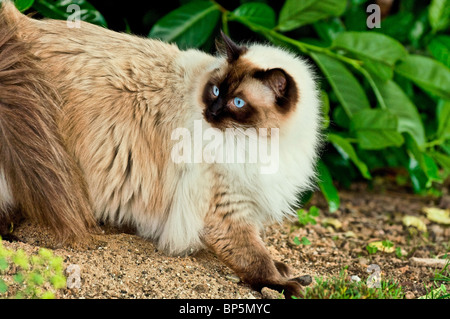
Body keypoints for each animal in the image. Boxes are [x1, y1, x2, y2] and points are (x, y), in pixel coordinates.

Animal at [0, 1, 324, 298]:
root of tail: (20, 25)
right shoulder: (226, 208)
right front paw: (283, 284)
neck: (265, 141)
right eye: (216, 91)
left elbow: (262, 252)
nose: (212, 113)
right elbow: (255, 259)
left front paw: (286, 270)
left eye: (238, 102)